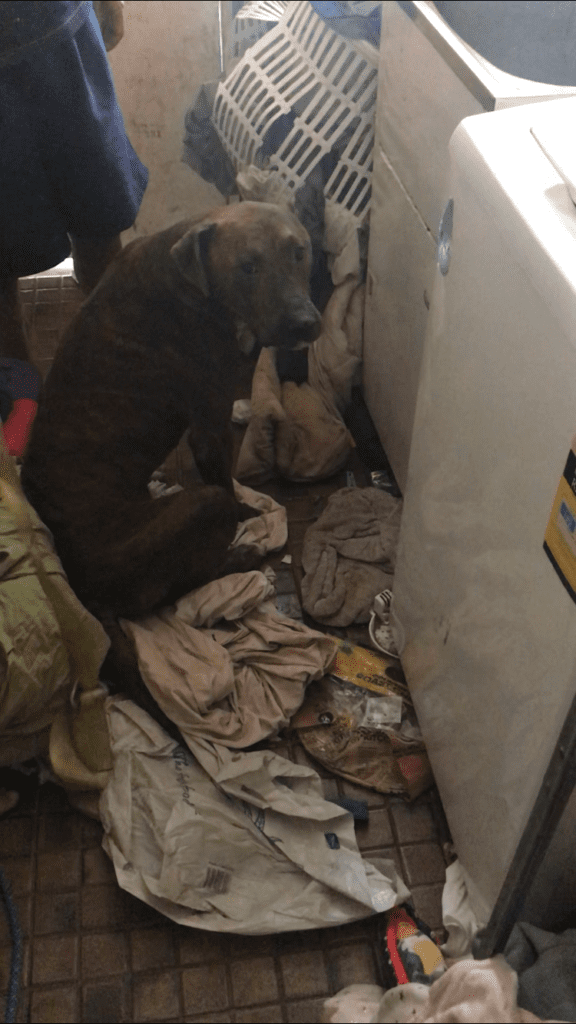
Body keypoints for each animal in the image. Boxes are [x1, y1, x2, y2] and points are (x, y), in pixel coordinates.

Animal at [22, 199, 319, 729]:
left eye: (299, 251)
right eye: (247, 267)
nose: (305, 324)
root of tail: (81, 591)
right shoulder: (208, 424)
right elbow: (228, 484)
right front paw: (250, 515)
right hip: (197, 510)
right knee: (181, 581)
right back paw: (240, 556)